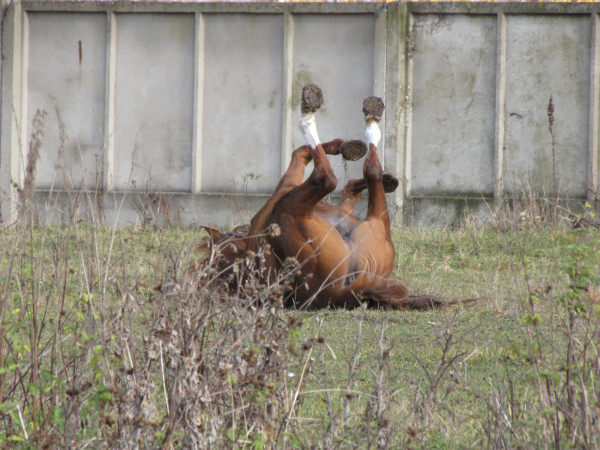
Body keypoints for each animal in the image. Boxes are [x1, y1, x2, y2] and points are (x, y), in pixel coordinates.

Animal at [204, 84, 442, 310]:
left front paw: (350, 150)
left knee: (357, 174)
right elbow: (303, 154)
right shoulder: (286, 188)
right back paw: (316, 113)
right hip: (349, 218)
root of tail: (343, 293)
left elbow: (346, 185)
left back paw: (369, 115)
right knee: (334, 176)